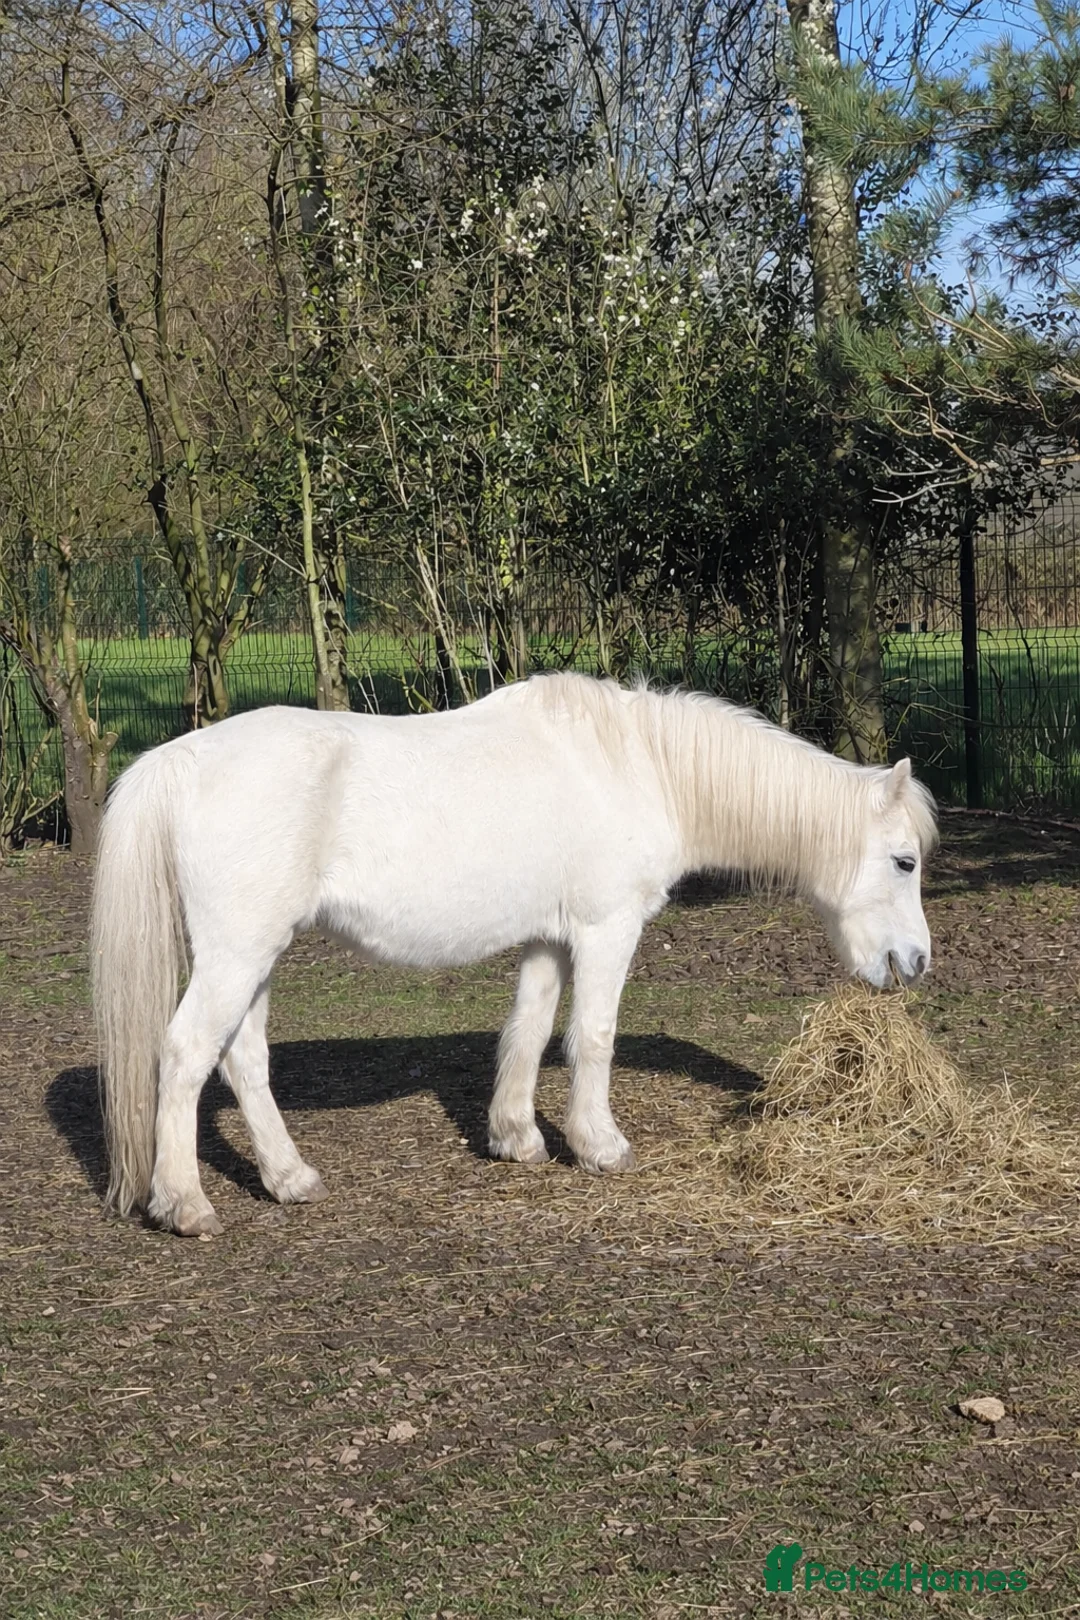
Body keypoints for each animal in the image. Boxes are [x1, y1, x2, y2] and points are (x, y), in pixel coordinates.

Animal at [91, 672, 936, 1236]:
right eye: (904, 862)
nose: (916, 963)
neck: (638, 765)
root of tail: (177, 761)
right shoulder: (605, 929)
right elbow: (592, 1036)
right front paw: (599, 1146)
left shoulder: (549, 939)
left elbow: (528, 1032)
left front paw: (516, 1139)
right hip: (237, 953)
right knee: (186, 1053)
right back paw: (185, 1204)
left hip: (256, 955)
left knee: (243, 1059)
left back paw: (290, 1178)